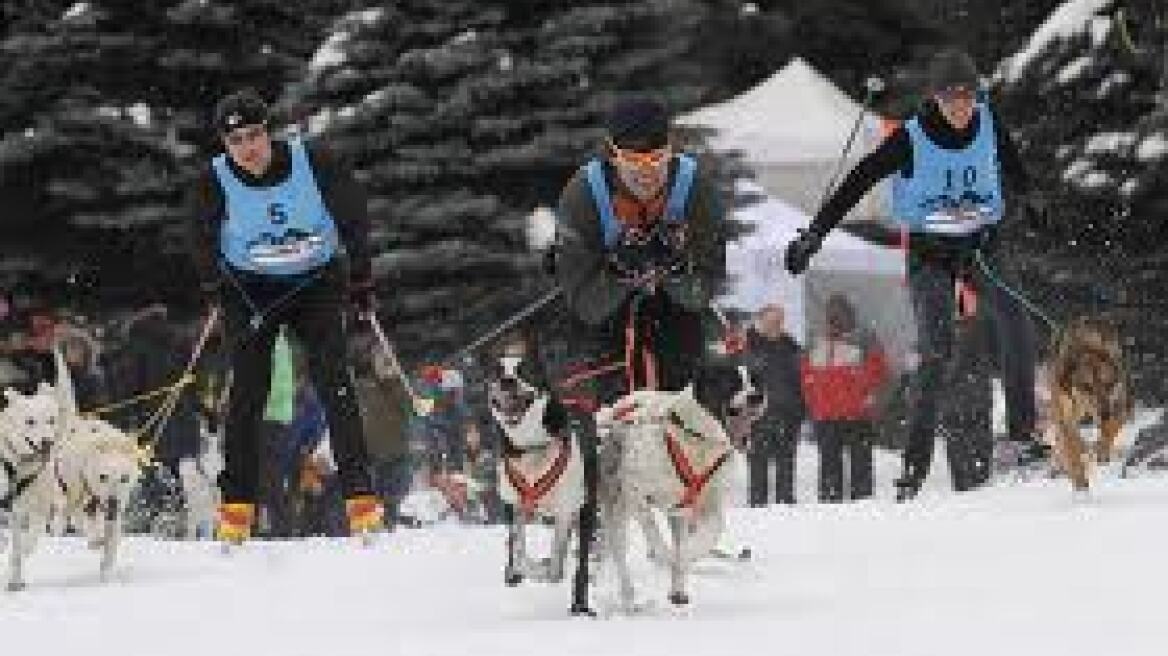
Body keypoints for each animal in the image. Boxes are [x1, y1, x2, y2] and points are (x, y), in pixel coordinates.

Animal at [1051, 317, 1130, 490]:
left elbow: (1111, 428)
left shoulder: (1121, 405)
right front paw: (1080, 484)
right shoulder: (1065, 416)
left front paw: (1101, 450)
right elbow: (1071, 447)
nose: (1105, 413)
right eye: (1087, 387)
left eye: (1108, 384)